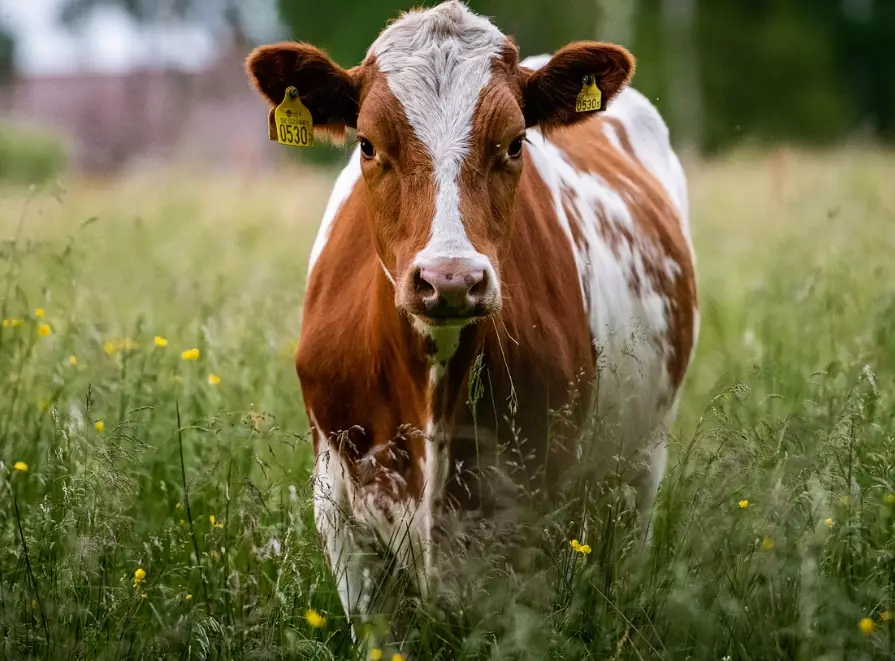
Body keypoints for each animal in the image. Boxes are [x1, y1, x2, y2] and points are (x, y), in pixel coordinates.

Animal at [246, 0, 698, 637]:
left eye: (514, 144)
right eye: (368, 144)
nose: (451, 277)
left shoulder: (534, 522)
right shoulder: (342, 520)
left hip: (640, 464)